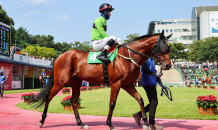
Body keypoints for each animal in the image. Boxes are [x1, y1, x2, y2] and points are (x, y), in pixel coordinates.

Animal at [29, 30, 172, 130]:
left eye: (170, 48)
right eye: (163, 47)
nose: (168, 65)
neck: (127, 57)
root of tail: (60, 55)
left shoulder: (128, 84)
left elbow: (140, 99)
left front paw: (145, 122)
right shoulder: (116, 83)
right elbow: (112, 104)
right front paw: (109, 124)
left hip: (76, 83)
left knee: (74, 102)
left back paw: (81, 123)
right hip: (60, 82)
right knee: (48, 97)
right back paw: (42, 121)